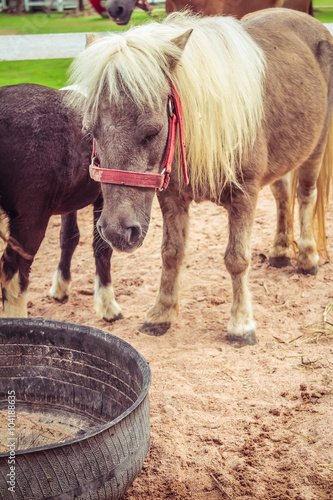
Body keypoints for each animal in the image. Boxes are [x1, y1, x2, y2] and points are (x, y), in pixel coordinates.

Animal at [0, 84, 122, 322]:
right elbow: (102, 247)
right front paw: (107, 306)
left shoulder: (69, 203)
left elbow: (69, 237)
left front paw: (61, 288)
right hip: (30, 221)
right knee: (14, 273)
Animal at [67, 8, 332, 344]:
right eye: (91, 131)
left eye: (152, 132)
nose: (115, 232)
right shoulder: (172, 197)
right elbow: (171, 253)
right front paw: (161, 314)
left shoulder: (245, 194)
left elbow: (237, 258)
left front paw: (241, 324)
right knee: (283, 194)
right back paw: (281, 251)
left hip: (315, 148)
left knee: (305, 196)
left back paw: (307, 258)